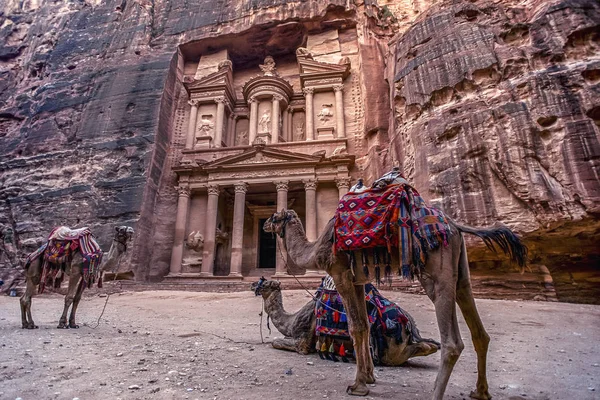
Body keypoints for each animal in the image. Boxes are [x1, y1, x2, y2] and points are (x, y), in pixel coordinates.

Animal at [250, 278, 440, 366]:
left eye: (265, 283)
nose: (252, 285)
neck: (291, 321)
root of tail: (409, 325)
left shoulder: (302, 340)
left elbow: (277, 342)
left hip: (391, 350)